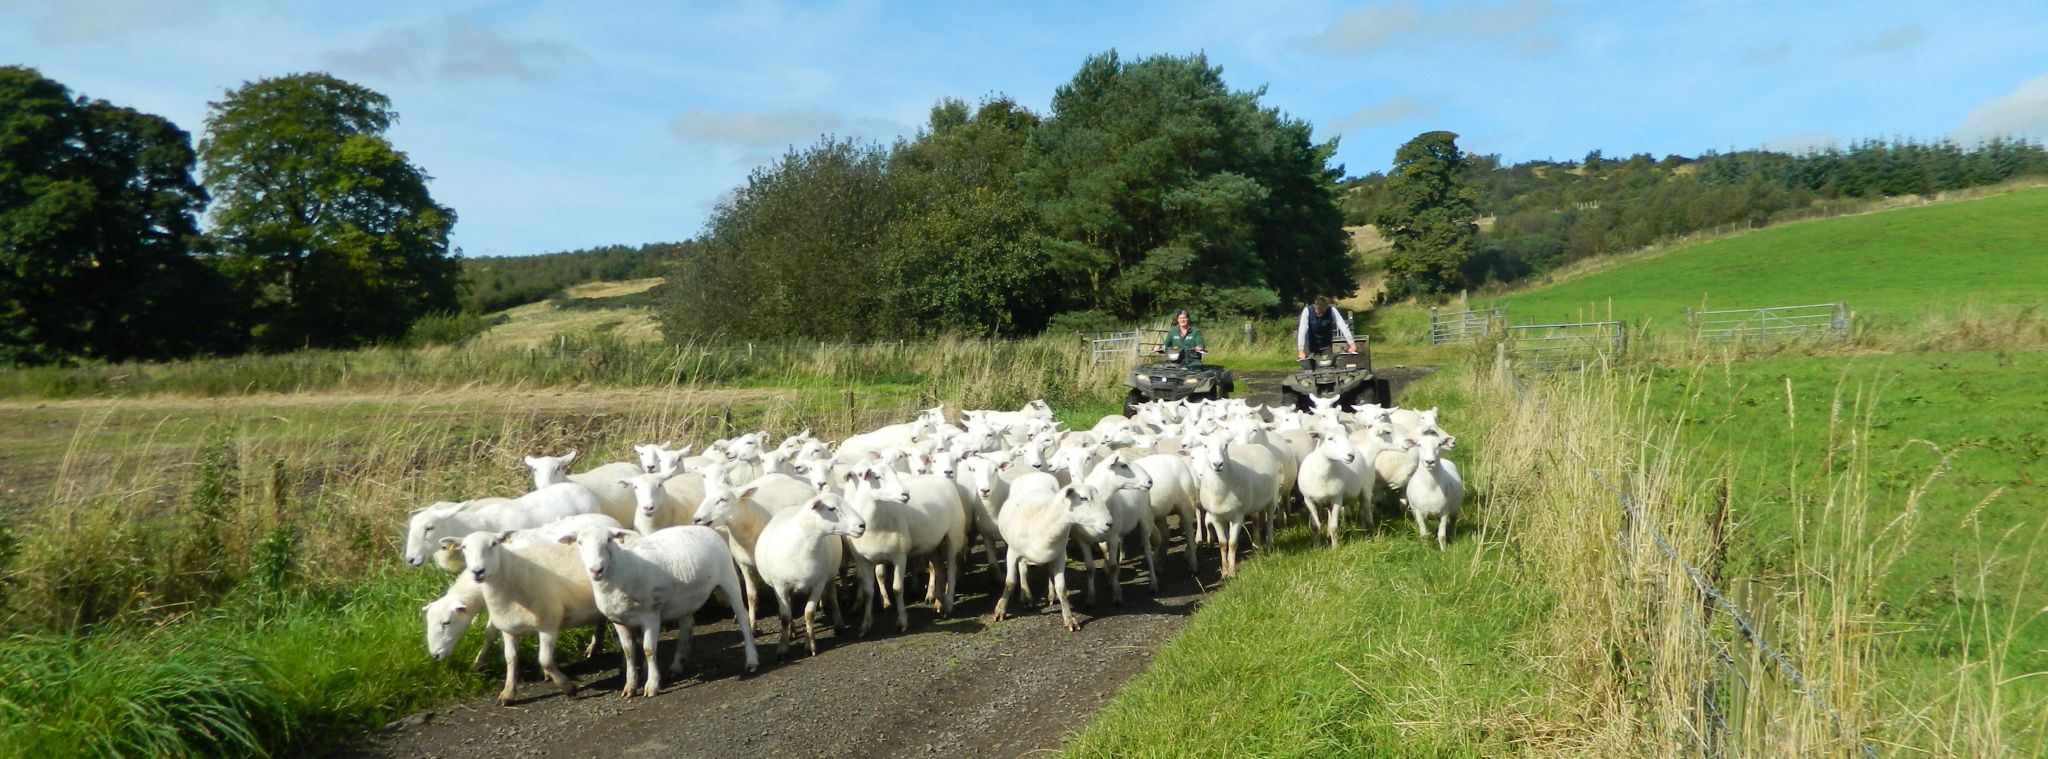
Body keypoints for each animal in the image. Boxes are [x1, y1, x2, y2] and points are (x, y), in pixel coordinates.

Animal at [450, 527, 602, 707]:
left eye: (494, 544)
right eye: (464, 547)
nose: (477, 571)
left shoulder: (548, 624)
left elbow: (545, 660)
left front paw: (567, 687)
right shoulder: (508, 629)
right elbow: (510, 659)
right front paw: (508, 693)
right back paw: (595, 648)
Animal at [565, 527, 765, 699]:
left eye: (608, 540)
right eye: (579, 542)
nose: (595, 570)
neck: (622, 570)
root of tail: (704, 528)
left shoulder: (650, 616)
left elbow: (648, 650)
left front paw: (652, 685)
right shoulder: (619, 622)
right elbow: (629, 652)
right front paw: (630, 687)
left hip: (728, 578)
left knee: (743, 618)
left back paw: (752, 660)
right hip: (685, 599)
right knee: (687, 626)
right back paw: (677, 665)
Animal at [753, 493, 864, 658]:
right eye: (831, 508)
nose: (862, 525)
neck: (803, 547)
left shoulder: (818, 584)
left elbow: (809, 614)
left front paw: (810, 645)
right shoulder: (780, 586)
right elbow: (785, 616)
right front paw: (783, 648)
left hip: (830, 576)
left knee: (832, 596)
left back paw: (838, 624)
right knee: (789, 608)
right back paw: (791, 630)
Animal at [987, 484, 1105, 634]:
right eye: (1083, 498)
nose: (1109, 523)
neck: (1043, 521)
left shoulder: (1060, 556)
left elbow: (1062, 589)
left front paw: (1069, 619)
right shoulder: (1012, 553)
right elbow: (1010, 582)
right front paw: (1000, 610)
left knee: (1047, 571)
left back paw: (1050, 595)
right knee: (1023, 570)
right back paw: (1026, 596)